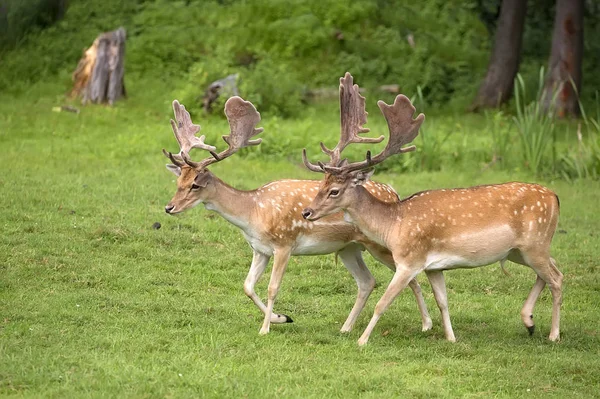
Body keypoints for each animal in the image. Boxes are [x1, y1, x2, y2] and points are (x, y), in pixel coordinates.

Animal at [162, 97, 432, 338]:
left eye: (195, 185)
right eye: (178, 181)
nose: (169, 207)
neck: (253, 212)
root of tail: (394, 193)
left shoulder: (284, 244)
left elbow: (272, 287)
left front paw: (265, 329)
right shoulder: (259, 249)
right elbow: (247, 286)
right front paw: (281, 318)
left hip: (381, 245)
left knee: (410, 278)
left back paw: (426, 325)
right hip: (349, 247)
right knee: (367, 281)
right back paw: (345, 328)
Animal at [302, 72, 564, 346]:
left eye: (334, 191)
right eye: (321, 184)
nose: (306, 212)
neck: (393, 225)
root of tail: (555, 197)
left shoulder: (410, 261)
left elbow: (383, 303)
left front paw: (362, 340)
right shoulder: (435, 267)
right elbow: (443, 302)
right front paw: (451, 338)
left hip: (535, 243)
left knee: (557, 278)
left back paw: (553, 334)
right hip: (519, 250)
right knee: (552, 269)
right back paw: (529, 321)